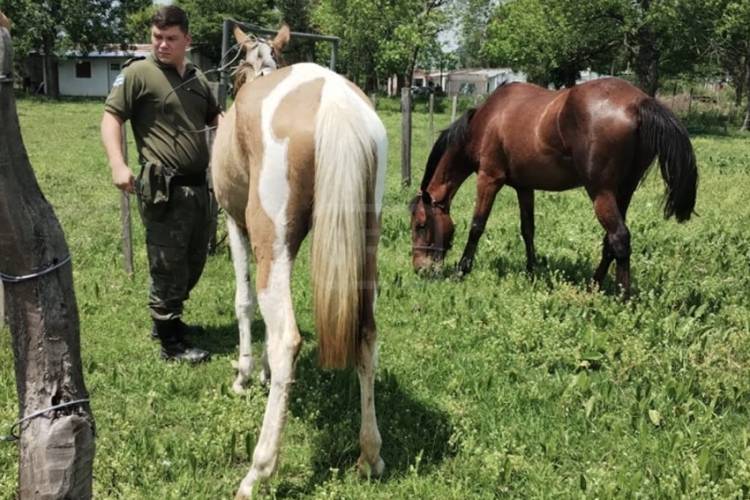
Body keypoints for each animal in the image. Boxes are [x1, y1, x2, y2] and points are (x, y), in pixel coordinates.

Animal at [210, 25, 387, 498]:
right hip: (366, 244)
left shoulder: (236, 225)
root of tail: (334, 98)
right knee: (366, 333)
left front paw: (246, 376)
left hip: (270, 240)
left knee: (286, 339)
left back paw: (258, 471)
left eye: (237, 64)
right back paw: (370, 455)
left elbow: (244, 303)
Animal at [410, 78, 698, 296]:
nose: (419, 268)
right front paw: (531, 270)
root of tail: (638, 103)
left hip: (601, 192)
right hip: (623, 192)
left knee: (620, 238)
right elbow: (528, 229)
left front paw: (461, 270)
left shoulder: (489, 178)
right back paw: (594, 285)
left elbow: (477, 226)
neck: (488, 119)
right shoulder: (524, 187)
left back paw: (622, 297)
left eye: (420, 225)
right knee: (610, 241)